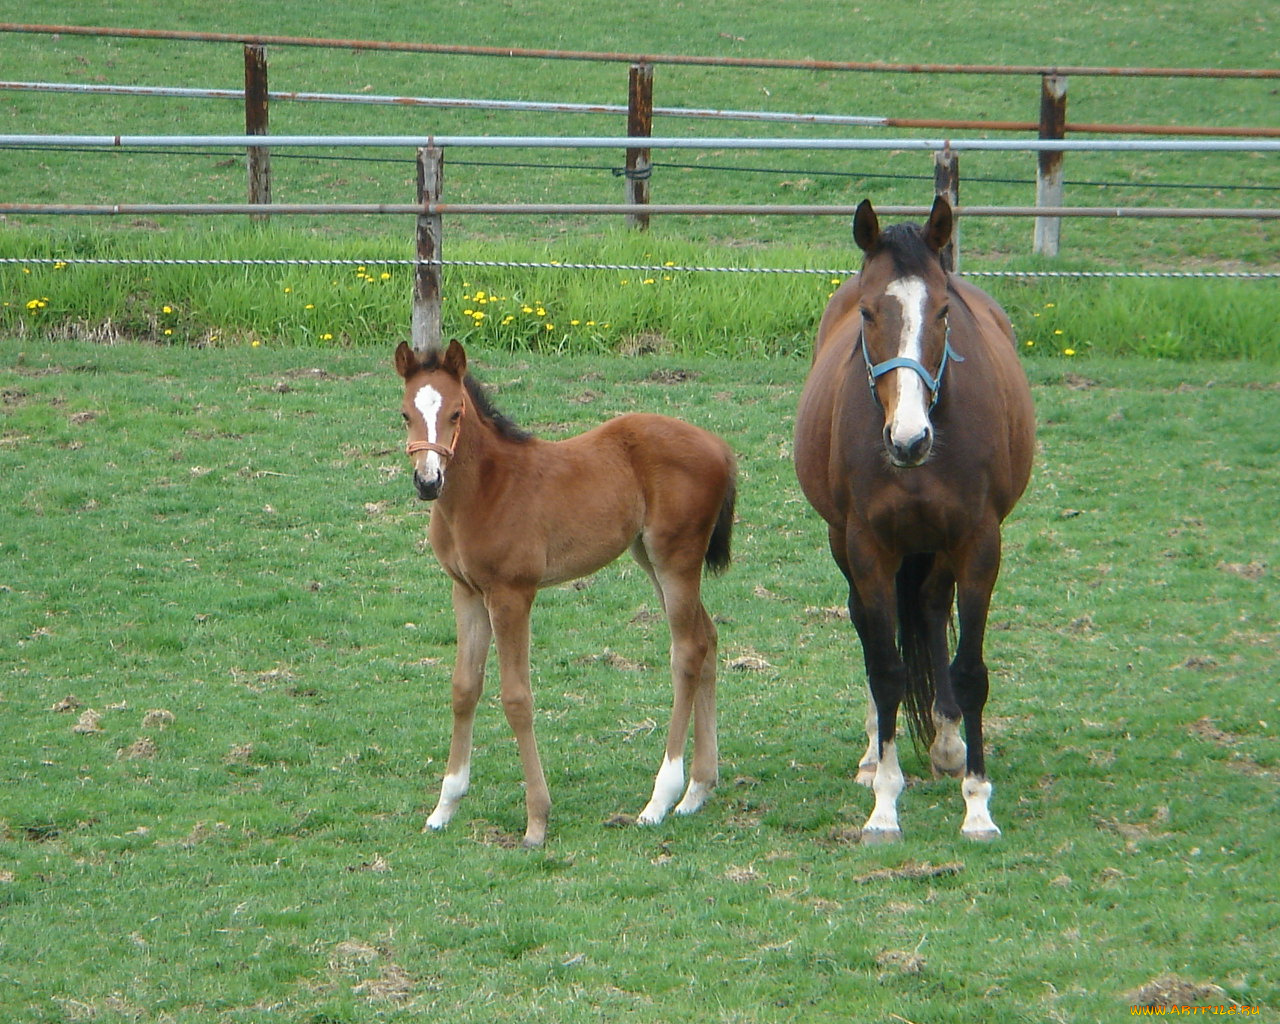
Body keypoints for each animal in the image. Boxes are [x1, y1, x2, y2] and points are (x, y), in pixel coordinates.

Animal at [389, 340, 737, 844]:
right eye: (405, 414)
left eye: (455, 412)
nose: (428, 481)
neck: (484, 490)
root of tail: (721, 447)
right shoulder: (466, 591)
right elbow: (464, 688)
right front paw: (444, 807)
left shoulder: (512, 594)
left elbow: (517, 697)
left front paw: (537, 820)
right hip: (649, 557)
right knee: (707, 638)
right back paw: (697, 791)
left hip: (676, 558)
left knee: (688, 650)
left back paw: (660, 799)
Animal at [793, 195, 1034, 844]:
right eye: (868, 311)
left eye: (944, 312)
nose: (908, 440)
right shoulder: (868, 546)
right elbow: (886, 669)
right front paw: (884, 803)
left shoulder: (979, 543)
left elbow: (969, 670)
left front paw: (977, 806)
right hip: (846, 543)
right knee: (870, 628)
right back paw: (875, 749)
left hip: (940, 549)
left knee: (928, 609)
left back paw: (948, 741)